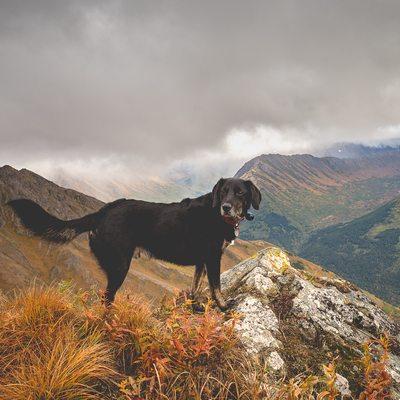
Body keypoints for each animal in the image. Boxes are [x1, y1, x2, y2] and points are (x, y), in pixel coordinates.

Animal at [8, 177, 262, 310]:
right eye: (223, 192)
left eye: (240, 193)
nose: (225, 207)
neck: (217, 216)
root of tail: (102, 212)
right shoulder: (212, 258)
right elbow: (216, 286)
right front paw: (224, 306)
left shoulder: (202, 262)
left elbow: (196, 285)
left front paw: (195, 305)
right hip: (119, 266)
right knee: (106, 299)